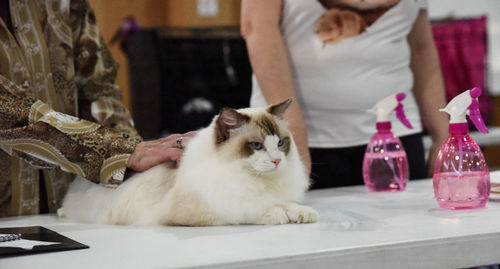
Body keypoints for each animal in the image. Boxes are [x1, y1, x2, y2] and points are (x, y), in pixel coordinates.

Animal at [57, 98, 316, 224]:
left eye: (280, 143)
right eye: (256, 146)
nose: (277, 161)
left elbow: (283, 203)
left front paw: (302, 213)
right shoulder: (208, 209)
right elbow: (251, 210)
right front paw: (277, 215)